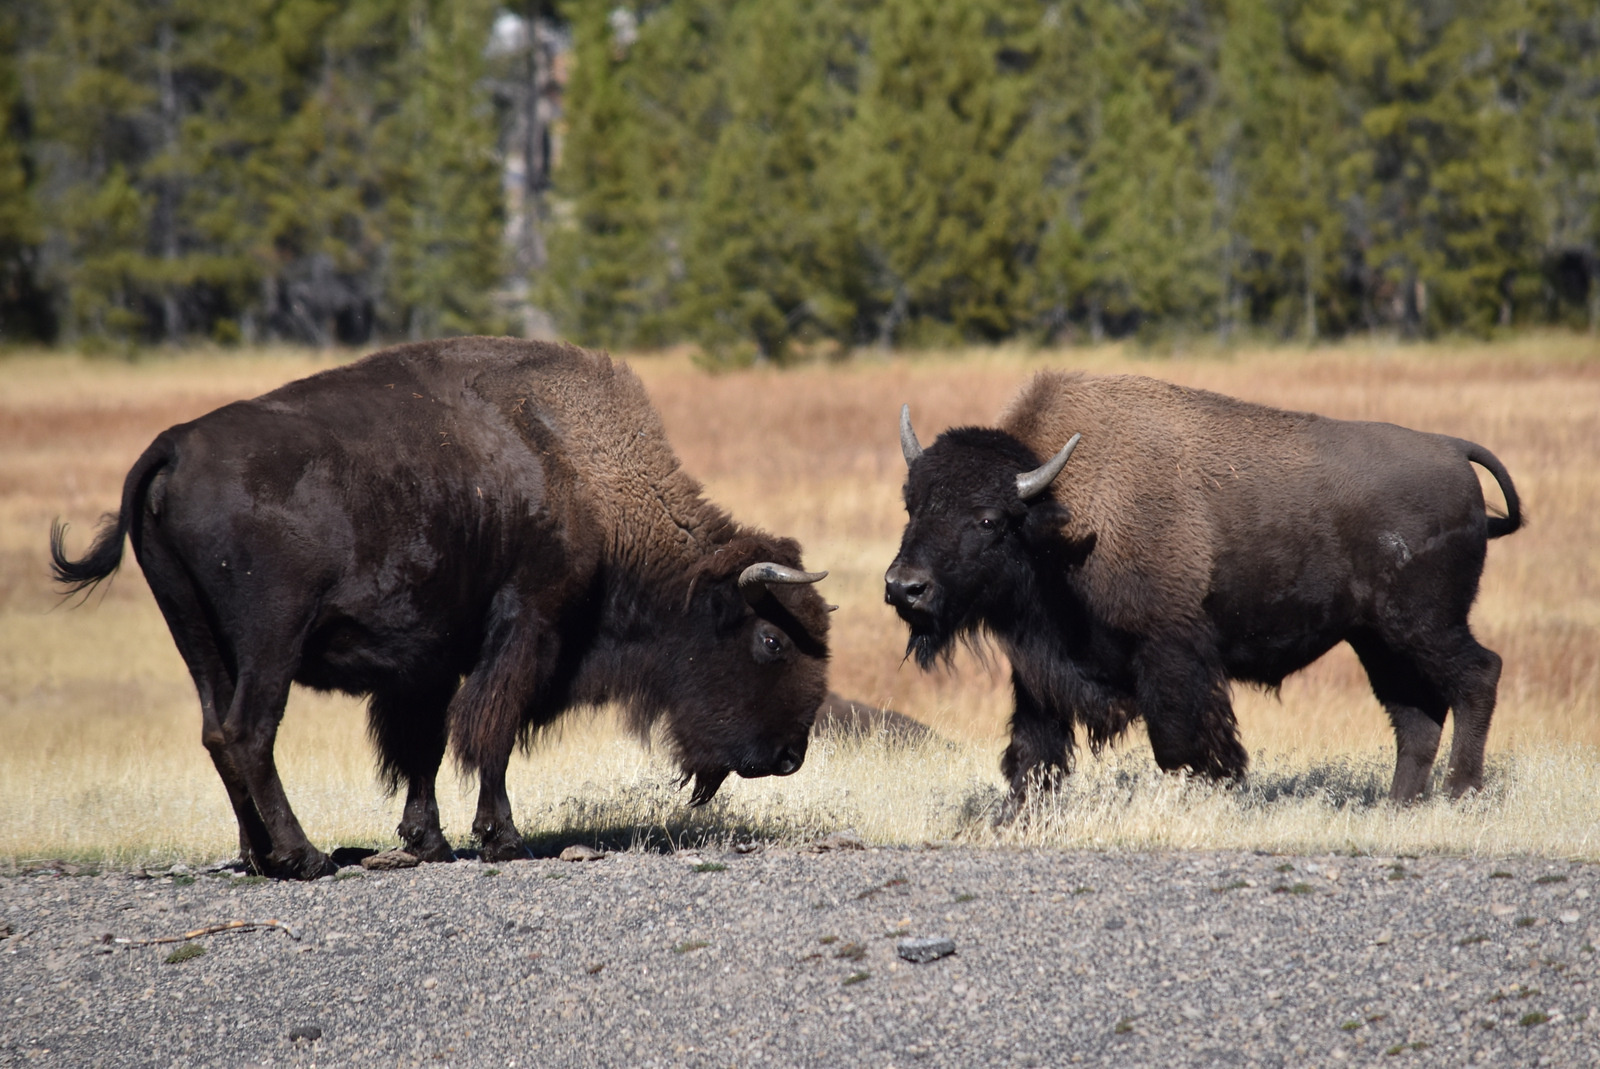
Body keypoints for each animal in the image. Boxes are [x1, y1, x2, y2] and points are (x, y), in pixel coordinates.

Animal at [53, 340, 825, 876]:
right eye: (772, 639)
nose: (789, 756)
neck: (585, 480)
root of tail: (173, 447)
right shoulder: (525, 627)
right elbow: (490, 732)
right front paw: (502, 838)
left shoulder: (423, 663)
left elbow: (421, 747)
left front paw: (428, 840)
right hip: (269, 640)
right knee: (249, 732)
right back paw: (304, 857)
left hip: (198, 638)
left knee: (218, 732)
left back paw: (258, 854)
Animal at [889, 371, 1523, 812]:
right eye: (912, 503)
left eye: (989, 519)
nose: (904, 587)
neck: (1061, 514)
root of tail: (1453, 451)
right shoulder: (1040, 670)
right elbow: (1032, 751)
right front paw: (1015, 816)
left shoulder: (1171, 655)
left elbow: (1179, 746)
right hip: (1378, 641)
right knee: (1415, 715)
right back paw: (1398, 807)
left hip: (1424, 624)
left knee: (1477, 675)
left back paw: (1460, 794)